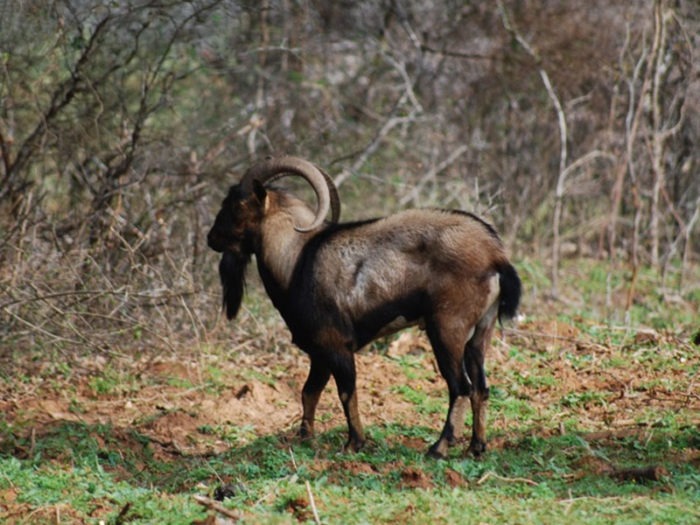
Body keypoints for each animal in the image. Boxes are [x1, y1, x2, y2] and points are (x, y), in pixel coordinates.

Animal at [208, 155, 520, 454]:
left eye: (236, 204)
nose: (212, 238)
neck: (296, 259)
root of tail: (495, 257)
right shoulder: (319, 353)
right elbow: (309, 392)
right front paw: (305, 439)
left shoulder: (335, 345)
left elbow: (345, 392)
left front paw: (353, 444)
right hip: (481, 332)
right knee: (481, 388)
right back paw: (476, 447)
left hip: (447, 329)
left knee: (461, 387)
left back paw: (439, 448)